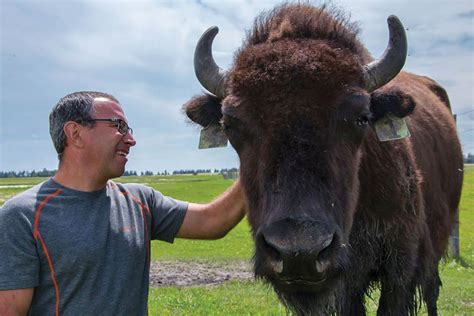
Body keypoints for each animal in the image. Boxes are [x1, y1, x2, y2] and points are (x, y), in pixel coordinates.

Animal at [182, 3, 462, 316]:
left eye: (362, 117)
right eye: (230, 124)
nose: (298, 253)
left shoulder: (399, 269)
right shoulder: (346, 286)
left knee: (432, 290)